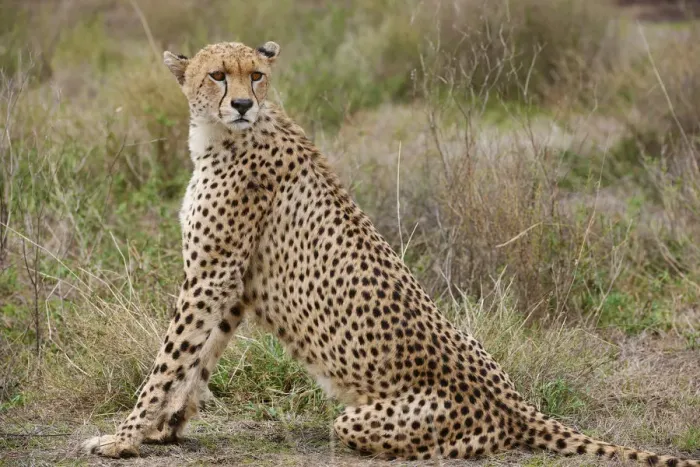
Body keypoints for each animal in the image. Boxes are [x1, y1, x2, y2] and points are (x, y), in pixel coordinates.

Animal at [82, 40, 700, 466]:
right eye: (217, 74)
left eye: (255, 75)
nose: (240, 103)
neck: (221, 135)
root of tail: (514, 401)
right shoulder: (230, 283)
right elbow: (196, 360)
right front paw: (164, 429)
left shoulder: (211, 275)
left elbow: (168, 361)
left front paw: (123, 437)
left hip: (369, 418)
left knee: (431, 441)